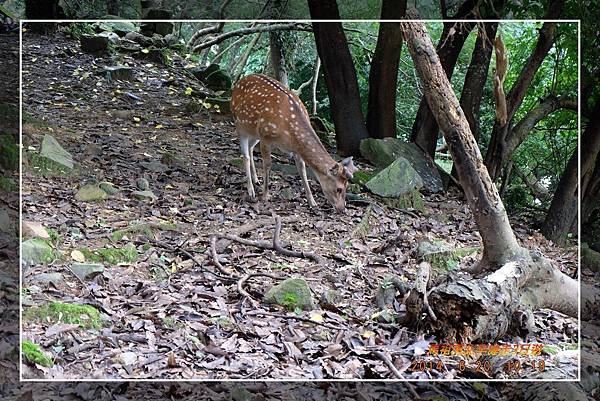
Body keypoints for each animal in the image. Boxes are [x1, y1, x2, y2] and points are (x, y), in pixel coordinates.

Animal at [232, 74, 356, 212]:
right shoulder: (265, 137)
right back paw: (251, 190)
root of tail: (240, 81)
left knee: (250, 148)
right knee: (245, 156)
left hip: (254, 132)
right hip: (240, 125)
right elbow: (268, 165)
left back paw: (256, 180)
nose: (342, 209)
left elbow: (302, 170)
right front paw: (265, 196)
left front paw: (312, 202)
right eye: (339, 189)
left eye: (347, 186)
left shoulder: (296, 149)